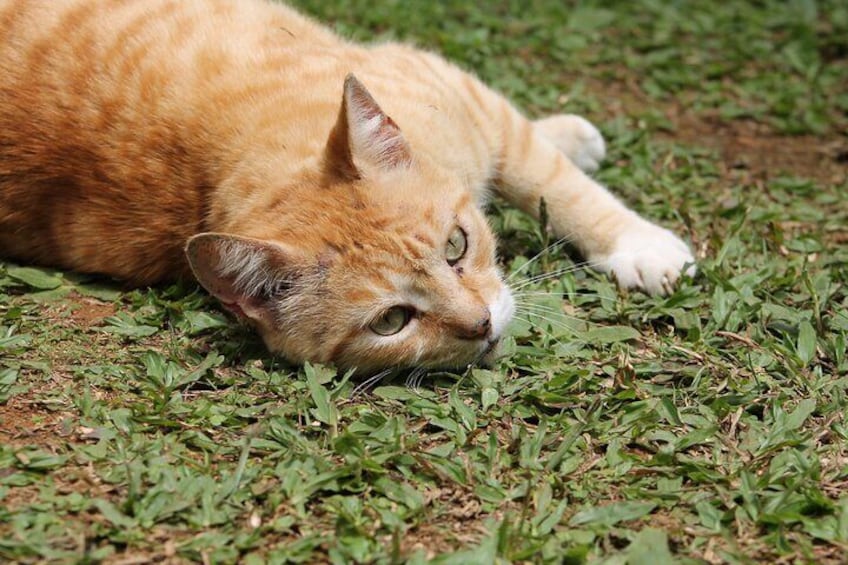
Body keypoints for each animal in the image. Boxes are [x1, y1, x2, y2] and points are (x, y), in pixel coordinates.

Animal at [0, 0, 696, 372]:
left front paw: (636, 242)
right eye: (391, 321)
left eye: (456, 246)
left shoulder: (464, 97)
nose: (480, 326)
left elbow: (554, 179)